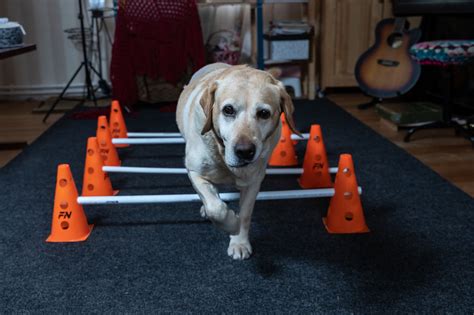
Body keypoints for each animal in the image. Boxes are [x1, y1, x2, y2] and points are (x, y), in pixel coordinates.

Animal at [176, 63, 298, 260]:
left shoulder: (254, 182)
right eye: (228, 110)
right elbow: (215, 208)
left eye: (264, 113)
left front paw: (239, 241)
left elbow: (246, 214)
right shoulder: (194, 172)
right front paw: (231, 223)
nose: (244, 152)